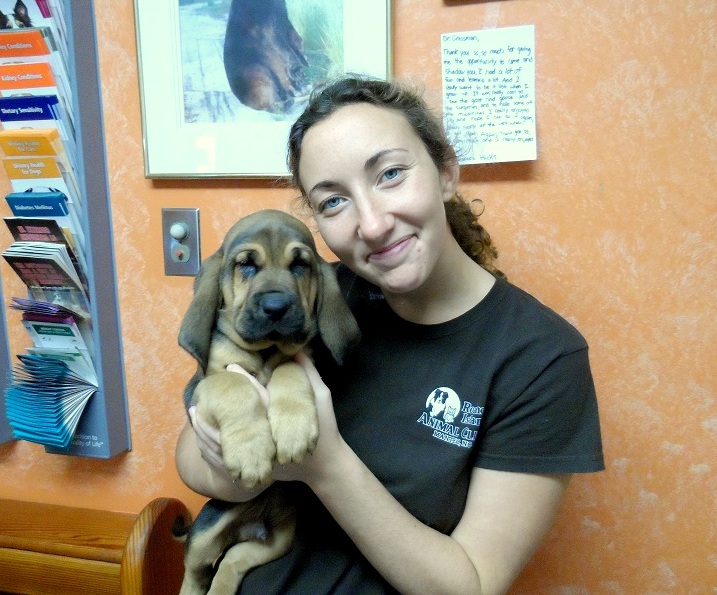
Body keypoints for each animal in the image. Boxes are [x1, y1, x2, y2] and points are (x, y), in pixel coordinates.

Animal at [177, 211, 360, 595]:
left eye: (300, 265)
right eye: (246, 264)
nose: (275, 307)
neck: (264, 354)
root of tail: (252, 524)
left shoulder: (302, 360)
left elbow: (290, 369)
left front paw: (293, 430)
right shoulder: (200, 387)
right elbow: (233, 385)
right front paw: (251, 451)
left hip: (275, 541)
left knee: (231, 562)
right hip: (208, 527)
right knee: (195, 573)